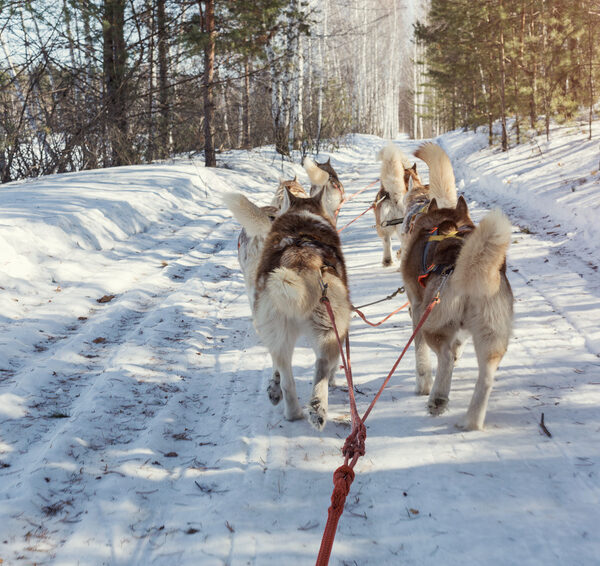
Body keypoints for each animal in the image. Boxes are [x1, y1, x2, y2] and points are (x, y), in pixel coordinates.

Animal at [224, 186, 352, 430]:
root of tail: (300, 262)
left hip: (280, 335)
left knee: (286, 378)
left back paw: (296, 410)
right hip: (329, 330)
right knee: (322, 367)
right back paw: (317, 407)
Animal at [400, 144, 512, 432]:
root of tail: (466, 271)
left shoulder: (417, 309)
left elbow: (421, 358)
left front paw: (423, 384)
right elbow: (458, 343)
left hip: (432, 322)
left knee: (445, 357)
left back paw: (437, 398)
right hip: (491, 339)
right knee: (485, 377)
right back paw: (472, 420)